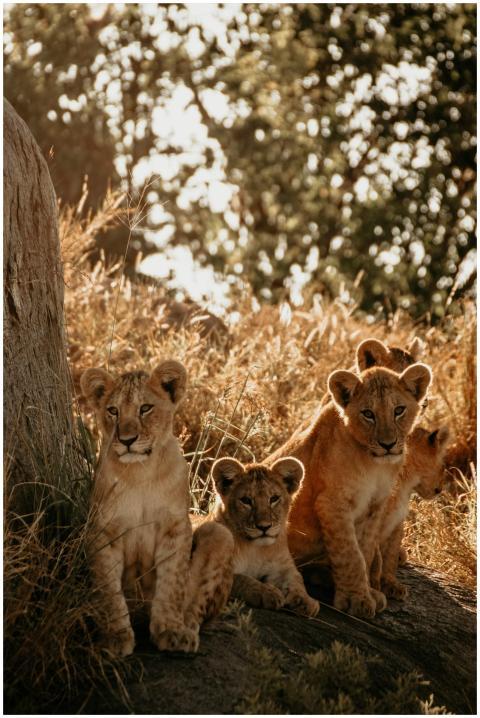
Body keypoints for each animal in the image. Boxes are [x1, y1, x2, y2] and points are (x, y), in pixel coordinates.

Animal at [81, 360, 233, 657]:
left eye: (145, 408)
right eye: (113, 411)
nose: (127, 440)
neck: (141, 472)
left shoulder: (175, 527)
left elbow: (172, 583)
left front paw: (171, 631)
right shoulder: (103, 531)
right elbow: (108, 590)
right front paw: (115, 636)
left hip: (221, 535)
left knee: (196, 610)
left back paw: (187, 628)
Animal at [210, 456, 319, 617]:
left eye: (274, 499)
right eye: (246, 500)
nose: (264, 527)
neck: (255, 549)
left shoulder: (283, 566)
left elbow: (297, 580)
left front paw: (305, 601)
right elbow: (241, 579)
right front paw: (268, 592)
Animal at [266, 362, 432, 618]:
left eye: (399, 410)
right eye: (368, 414)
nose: (388, 445)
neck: (373, 463)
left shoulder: (375, 505)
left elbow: (365, 550)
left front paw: (369, 593)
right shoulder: (331, 502)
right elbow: (350, 554)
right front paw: (357, 600)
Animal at [371, 424, 450, 600]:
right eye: (443, 467)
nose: (441, 489)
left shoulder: (397, 522)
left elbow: (390, 556)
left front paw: (391, 584)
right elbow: (375, 558)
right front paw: (373, 588)